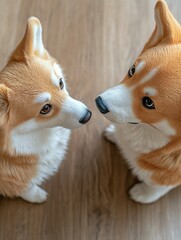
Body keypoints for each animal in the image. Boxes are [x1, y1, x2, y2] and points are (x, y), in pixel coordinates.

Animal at [95, 0, 181, 203]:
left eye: (149, 102)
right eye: (132, 70)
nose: (99, 102)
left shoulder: (169, 177)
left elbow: (157, 187)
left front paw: (141, 194)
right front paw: (113, 133)